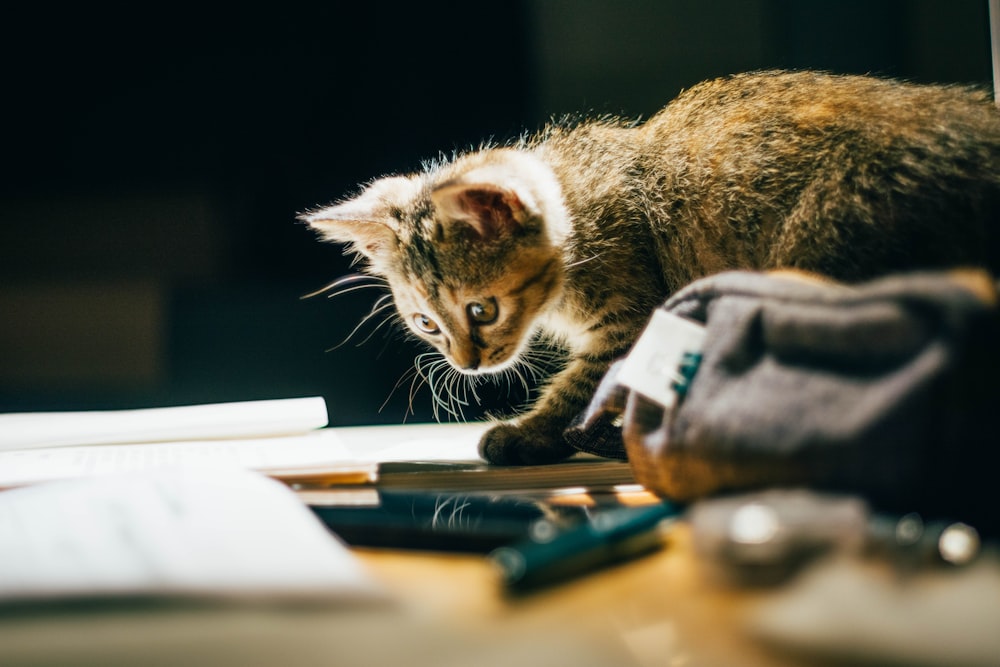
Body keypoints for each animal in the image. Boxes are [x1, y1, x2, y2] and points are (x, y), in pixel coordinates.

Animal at [298, 68, 1000, 464]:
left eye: (481, 309)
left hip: (824, 239)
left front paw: (532, 432)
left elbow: (584, 387)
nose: (469, 365)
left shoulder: (635, 316)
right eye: (427, 325)